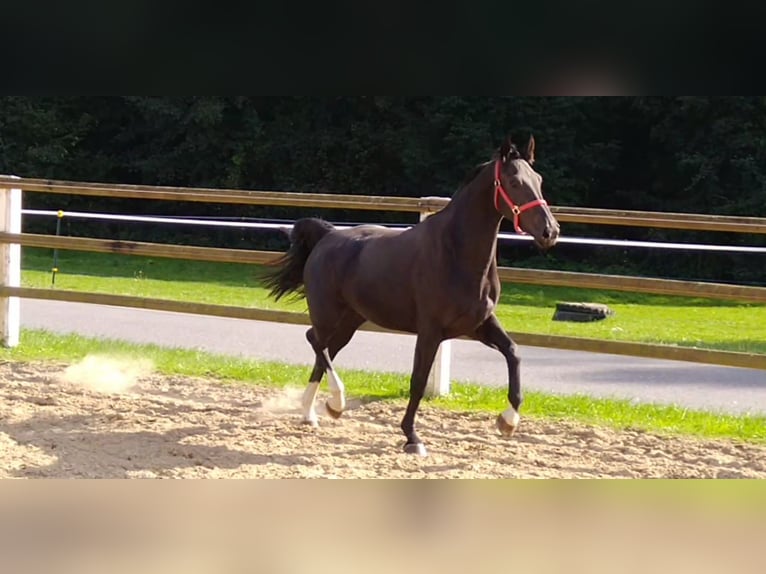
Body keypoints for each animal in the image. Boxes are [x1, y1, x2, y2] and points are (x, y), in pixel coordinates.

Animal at [268, 136, 560, 460]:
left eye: (539, 180)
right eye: (514, 181)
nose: (550, 231)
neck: (456, 254)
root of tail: (327, 236)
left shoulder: (477, 324)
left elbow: (513, 352)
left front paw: (508, 421)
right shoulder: (431, 330)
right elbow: (418, 381)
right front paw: (412, 438)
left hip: (349, 321)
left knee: (325, 350)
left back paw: (312, 413)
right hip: (328, 313)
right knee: (316, 341)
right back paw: (336, 402)